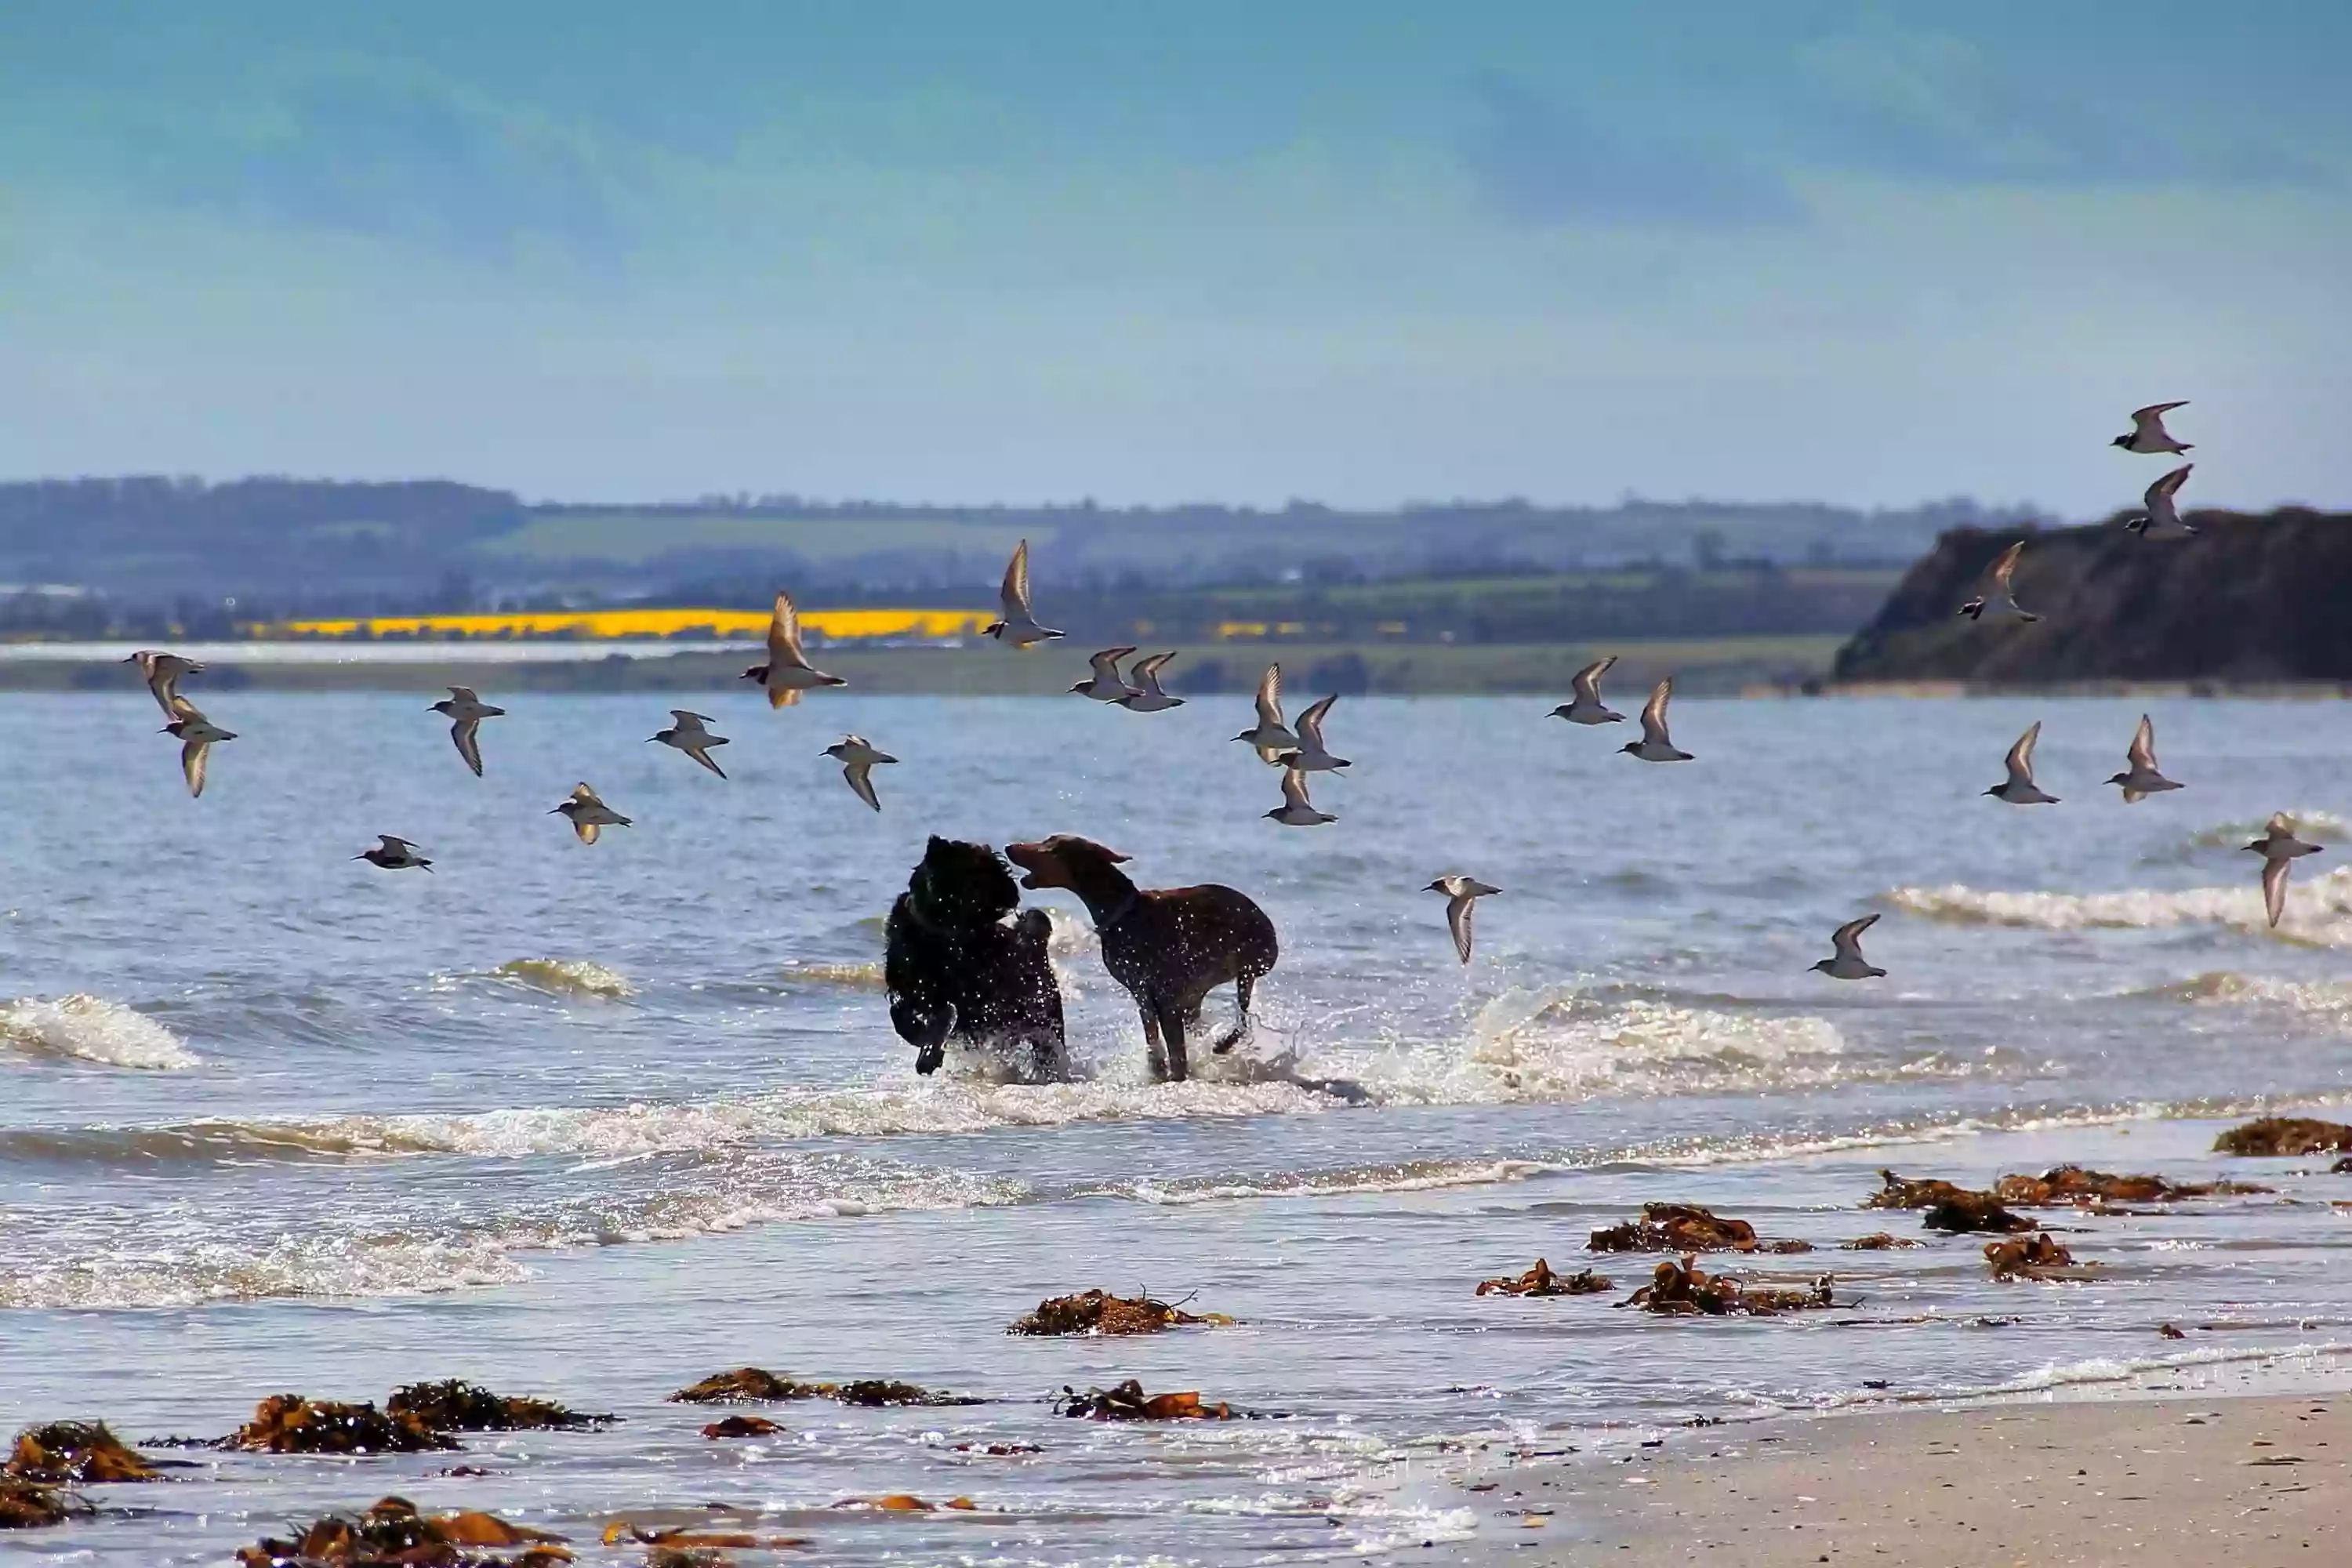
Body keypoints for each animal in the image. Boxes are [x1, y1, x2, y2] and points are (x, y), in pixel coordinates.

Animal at [884, 841, 1068, 1086]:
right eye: (982, 869)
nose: (1013, 892)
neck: (940, 933)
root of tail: (1036, 943)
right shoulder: (911, 989)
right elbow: (900, 1015)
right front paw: (925, 1045)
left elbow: (945, 1017)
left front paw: (931, 1050)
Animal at [1002, 841, 1279, 1086]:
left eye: (1052, 846)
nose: (1009, 847)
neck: (1122, 910)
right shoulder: (1143, 992)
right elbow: (1154, 1038)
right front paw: (1159, 1070)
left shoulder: (1165, 997)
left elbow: (1175, 1051)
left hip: (1248, 966)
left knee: (1241, 1016)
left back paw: (1223, 1043)